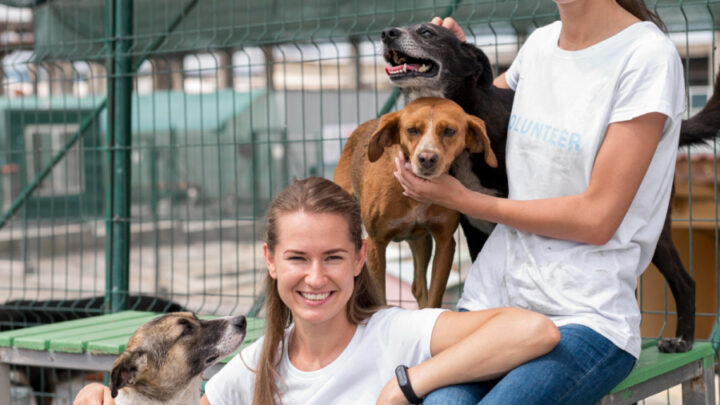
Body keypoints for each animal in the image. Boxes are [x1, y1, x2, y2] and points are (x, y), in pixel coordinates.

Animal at [334, 98, 496, 306]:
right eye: (411, 130)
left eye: (449, 131)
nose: (427, 158)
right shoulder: (376, 244)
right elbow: (379, 300)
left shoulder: (445, 242)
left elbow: (433, 298)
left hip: (421, 241)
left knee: (418, 287)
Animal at [380, 21, 720, 350]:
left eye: (427, 31)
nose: (386, 33)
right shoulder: (473, 227)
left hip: (656, 232)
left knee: (684, 282)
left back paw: (683, 339)